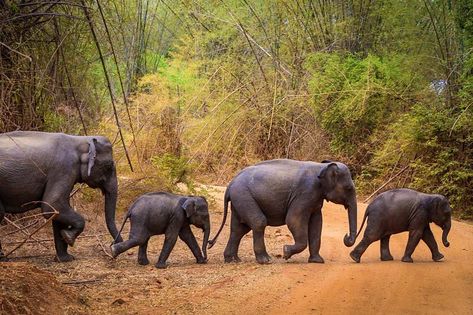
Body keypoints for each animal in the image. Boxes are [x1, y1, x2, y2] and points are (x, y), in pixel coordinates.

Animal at [0, 130, 121, 262]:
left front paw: (65, 259)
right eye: (109, 166)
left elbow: (56, 211)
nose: (112, 248)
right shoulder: (63, 169)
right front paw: (68, 237)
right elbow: (52, 205)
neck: (81, 140)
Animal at [208, 159, 356, 266]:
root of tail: (230, 185)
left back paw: (233, 260)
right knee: (258, 222)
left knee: (238, 229)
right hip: (243, 196)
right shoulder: (305, 193)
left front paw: (317, 261)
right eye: (349, 188)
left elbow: (317, 223)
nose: (346, 236)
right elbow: (293, 220)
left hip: (239, 200)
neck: (322, 166)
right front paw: (285, 253)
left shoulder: (315, 198)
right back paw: (266, 261)